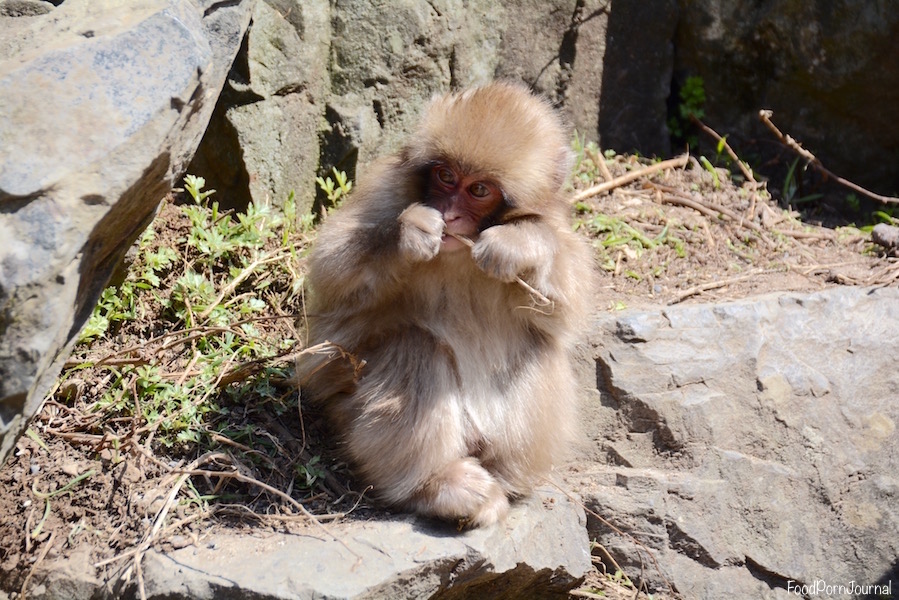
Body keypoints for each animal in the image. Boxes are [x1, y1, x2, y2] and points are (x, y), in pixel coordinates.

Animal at [298, 82, 596, 528]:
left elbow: (566, 306)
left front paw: (519, 243)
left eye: (479, 190)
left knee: (538, 346)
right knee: (415, 346)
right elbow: (333, 269)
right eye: (445, 176)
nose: (450, 216)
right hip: (344, 402)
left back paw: (508, 478)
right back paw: (436, 486)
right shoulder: (386, 190)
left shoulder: (553, 218)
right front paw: (410, 233)